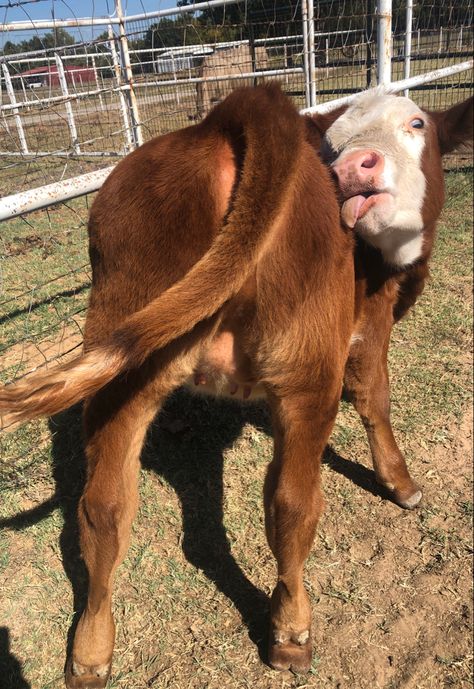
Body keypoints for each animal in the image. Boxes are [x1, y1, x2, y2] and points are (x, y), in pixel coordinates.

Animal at [0, 83, 472, 684]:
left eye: (416, 125)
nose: (354, 167)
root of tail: (229, 117)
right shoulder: (368, 321)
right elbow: (374, 396)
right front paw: (401, 482)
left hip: (120, 350)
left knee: (103, 508)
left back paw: (90, 651)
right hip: (306, 369)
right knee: (293, 505)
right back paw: (291, 630)